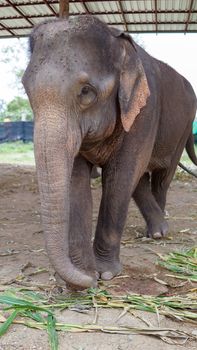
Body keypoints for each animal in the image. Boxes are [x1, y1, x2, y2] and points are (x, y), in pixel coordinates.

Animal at [22, 15, 197, 288]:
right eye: (26, 89)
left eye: (86, 91)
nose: (86, 281)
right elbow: (76, 180)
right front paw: (85, 273)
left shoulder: (145, 110)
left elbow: (121, 176)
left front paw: (104, 273)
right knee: (143, 179)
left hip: (182, 128)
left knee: (161, 177)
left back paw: (158, 231)